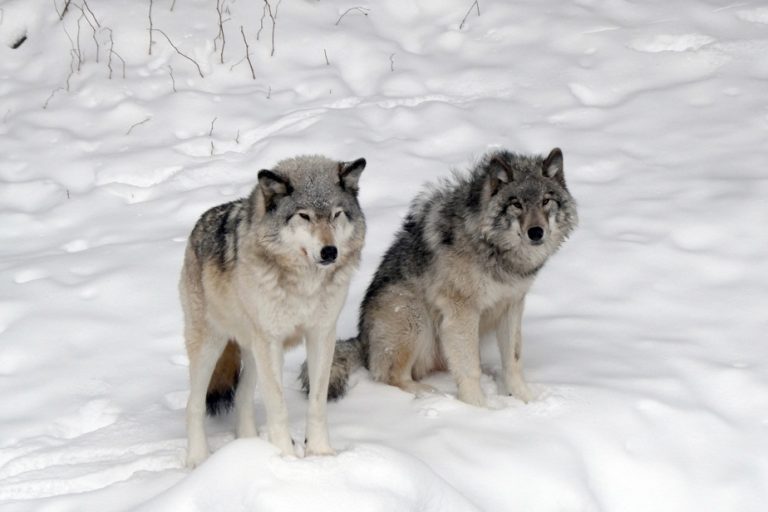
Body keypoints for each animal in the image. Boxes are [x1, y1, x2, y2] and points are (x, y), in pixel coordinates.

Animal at [180, 154, 367, 467]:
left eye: (337, 214)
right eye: (304, 216)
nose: (329, 252)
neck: (305, 285)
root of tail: (197, 227)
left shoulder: (321, 334)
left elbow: (317, 402)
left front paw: (321, 454)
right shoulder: (271, 341)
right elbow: (278, 406)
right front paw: (286, 459)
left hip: (253, 351)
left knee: (242, 398)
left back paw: (248, 447)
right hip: (212, 345)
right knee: (193, 404)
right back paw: (197, 459)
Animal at [301, 148, 577, 407]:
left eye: (546, 201)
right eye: (517, 204)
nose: (536, 232)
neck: (494, 249)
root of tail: (362, 340)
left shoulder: (511, 305)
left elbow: (514, 360)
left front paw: (525, 399)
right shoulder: (461, 311)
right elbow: (469, 369)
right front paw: (480, 409)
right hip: (414, 316)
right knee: (389, 376)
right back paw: (431, 394)